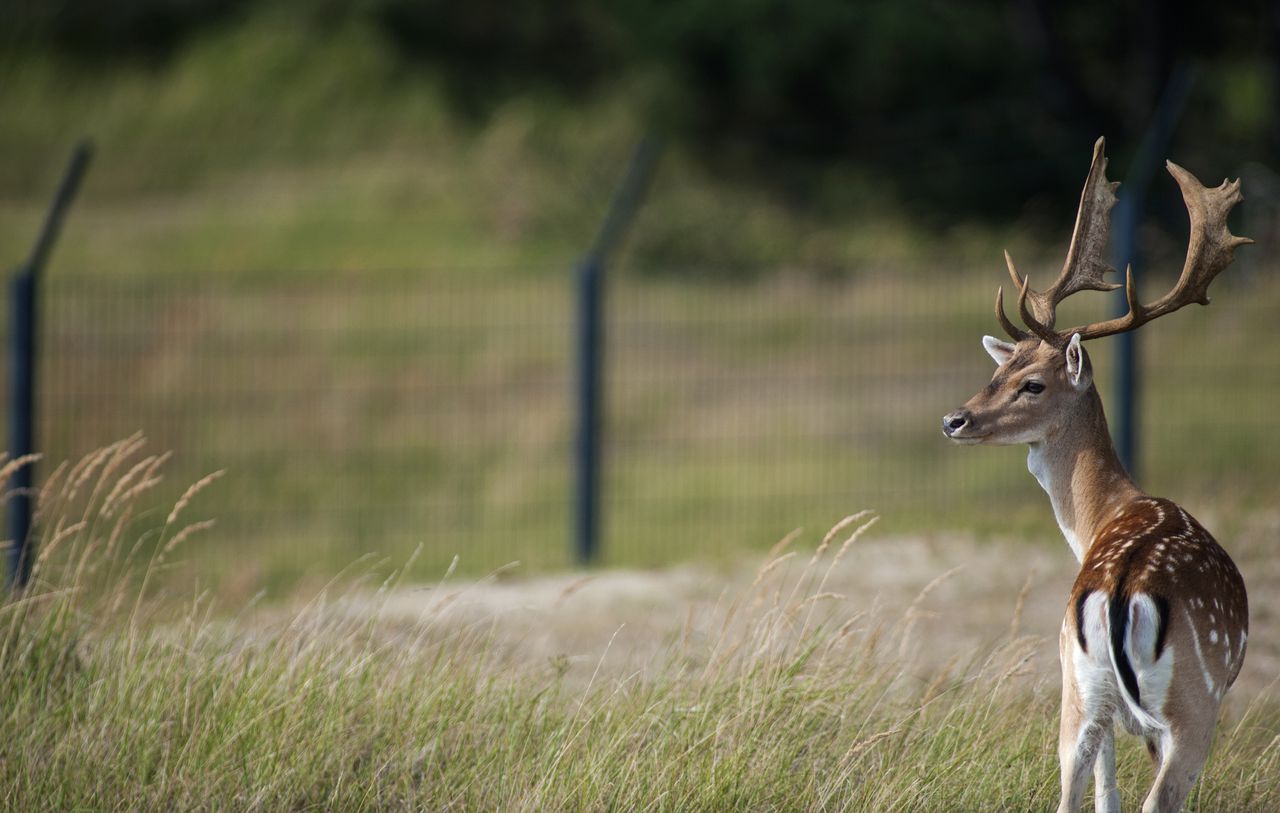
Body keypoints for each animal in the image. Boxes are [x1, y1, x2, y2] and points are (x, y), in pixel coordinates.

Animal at [942, 136, 1249, 809]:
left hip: (1079, 686)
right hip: (1194, 700)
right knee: (1159, 795)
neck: (1104, 515)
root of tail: (1118, 594)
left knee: (1070, 786)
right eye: (998, 372)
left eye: (1030, 382)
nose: (953, 419)